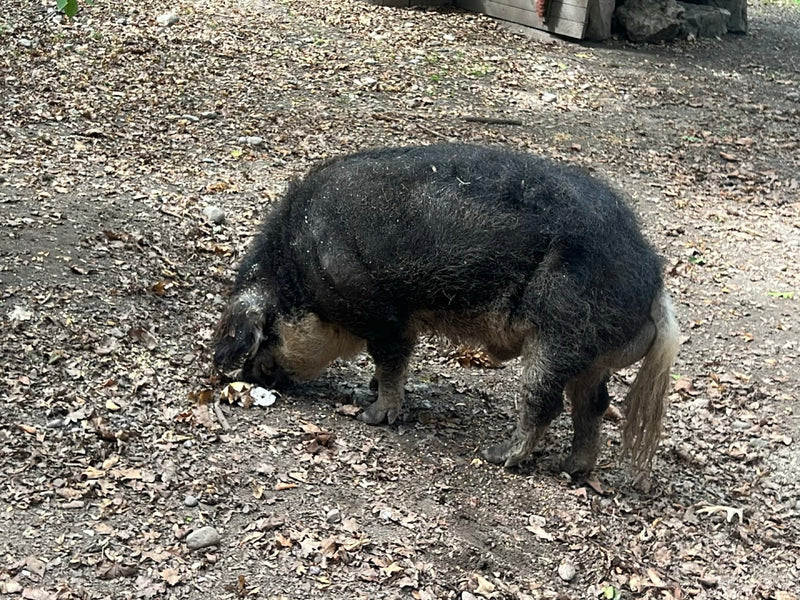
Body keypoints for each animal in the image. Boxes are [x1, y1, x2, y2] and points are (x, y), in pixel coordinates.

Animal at [213, 144, 680, 479]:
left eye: (268, 331)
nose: (248, 374)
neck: (299, 267)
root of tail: (652, 283)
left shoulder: (385, 315)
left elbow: (391, 361)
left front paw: (372, 416)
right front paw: (368, 392)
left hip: (562, 332)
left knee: (543, 400)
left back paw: (498, 456)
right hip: (590, 356)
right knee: (594, 404)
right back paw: (571, 469)